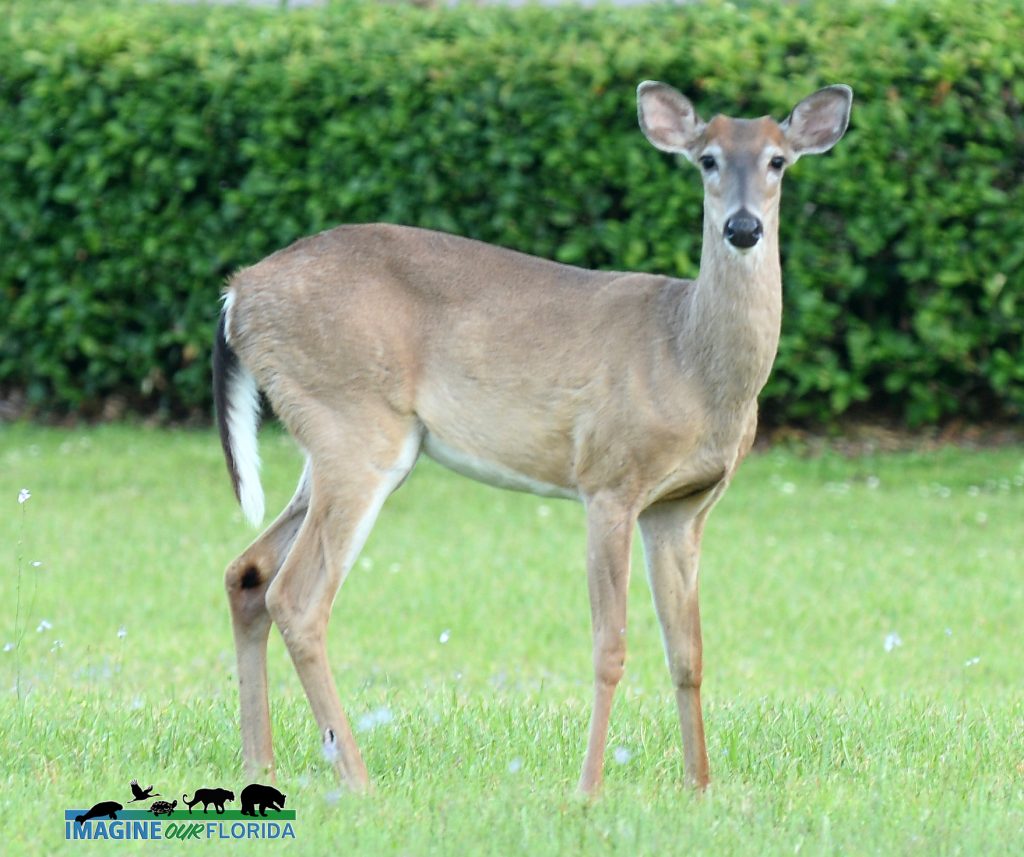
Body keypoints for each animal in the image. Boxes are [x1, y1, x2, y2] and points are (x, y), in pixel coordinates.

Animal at [214, 80, 847, 790]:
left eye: (778, 161)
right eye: (707, 159)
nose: (743, 227)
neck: (688, 359)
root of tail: (237, 295)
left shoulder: (682, 507)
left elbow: (688, 653)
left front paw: (699, 788)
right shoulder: (609, 479)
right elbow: (610, 647)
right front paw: (589, 789)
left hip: (333, 440)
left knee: (247, 573)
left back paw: (261, 766)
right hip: (354, 423)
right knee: (296, 597)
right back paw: (357, 778)